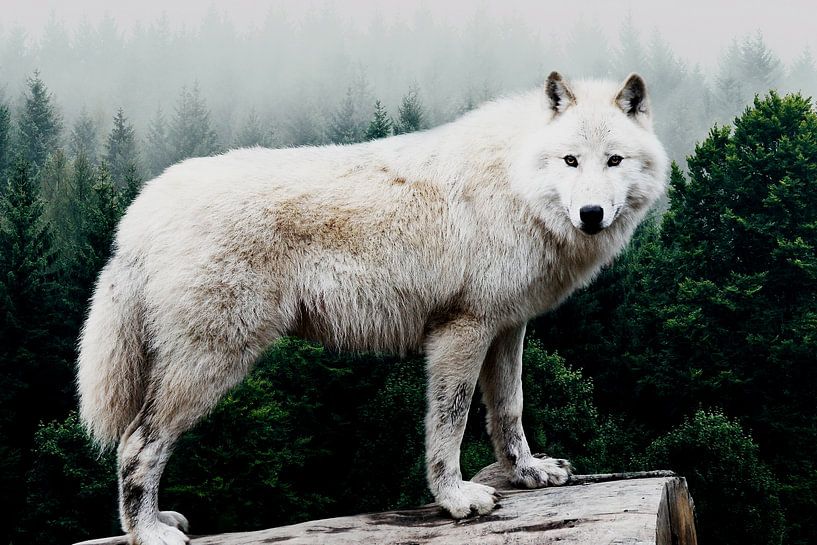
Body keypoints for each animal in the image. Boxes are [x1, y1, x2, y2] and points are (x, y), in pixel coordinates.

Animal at [77, 71, 668, 545]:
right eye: (570, 160)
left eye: (614, 161)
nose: (591, 214)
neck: (515, 183)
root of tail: (139, 212)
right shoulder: (461, 330)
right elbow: (450, 423)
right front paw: (456, 499)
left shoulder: (507, 327)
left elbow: (509, 410)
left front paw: (528, 473)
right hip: (213, 363)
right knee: (136, 444)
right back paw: (148, 532)